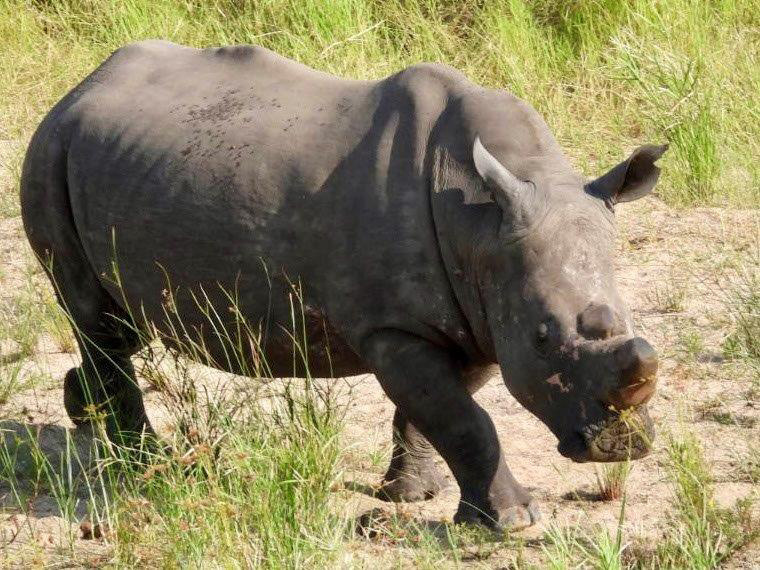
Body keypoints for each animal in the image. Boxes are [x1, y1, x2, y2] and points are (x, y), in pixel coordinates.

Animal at [21, 40, 665, 530]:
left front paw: (411, 496)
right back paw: (145, 467)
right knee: (96, 320)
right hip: (49, 151)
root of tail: (78, 88)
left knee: (113, 326)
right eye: (543, 340)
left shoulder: (474, 313)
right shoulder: (393, 326)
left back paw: (84, 411)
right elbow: (465, 420)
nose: (619, 446)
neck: (482, 222)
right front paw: (510, 523)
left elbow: (437, 412)